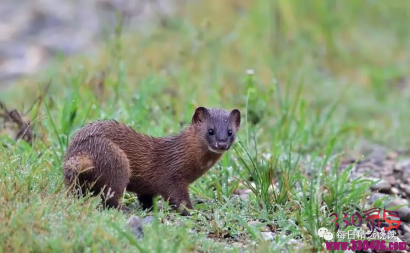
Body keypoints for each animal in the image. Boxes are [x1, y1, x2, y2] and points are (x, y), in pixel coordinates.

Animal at [62, 106, 239, 215]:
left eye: (230, 132)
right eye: (210, 131)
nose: (222, 143)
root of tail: (82, 152)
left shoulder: (147, 187)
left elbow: (146, 198)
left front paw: (152, 208)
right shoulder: (172, 176)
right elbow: (177, 198)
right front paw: (192, 210)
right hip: (116, 161)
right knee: (110, 197)